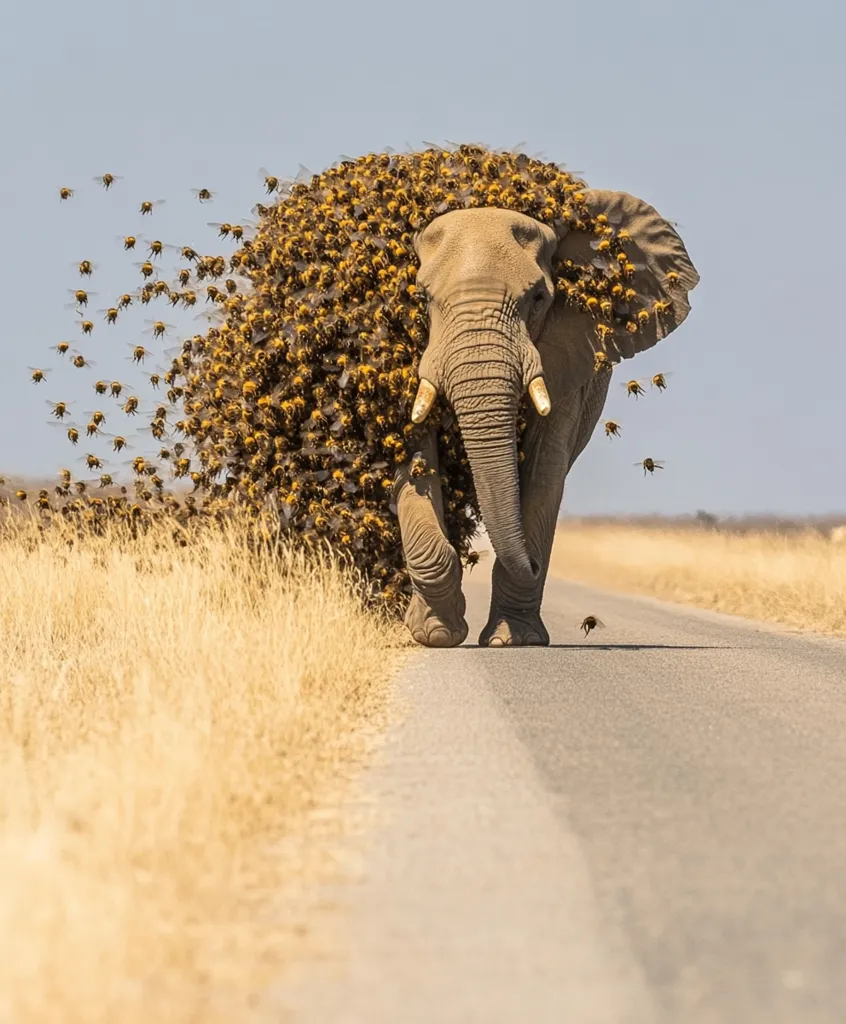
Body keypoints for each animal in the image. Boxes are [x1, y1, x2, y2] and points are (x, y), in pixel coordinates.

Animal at [392, 190, 699, 648]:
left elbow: (544, 468)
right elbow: (414, 453)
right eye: (424, 298)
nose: (534, 565)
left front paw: (512, 640)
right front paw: (436, 635)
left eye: (538, 298)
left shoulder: (570, 352)